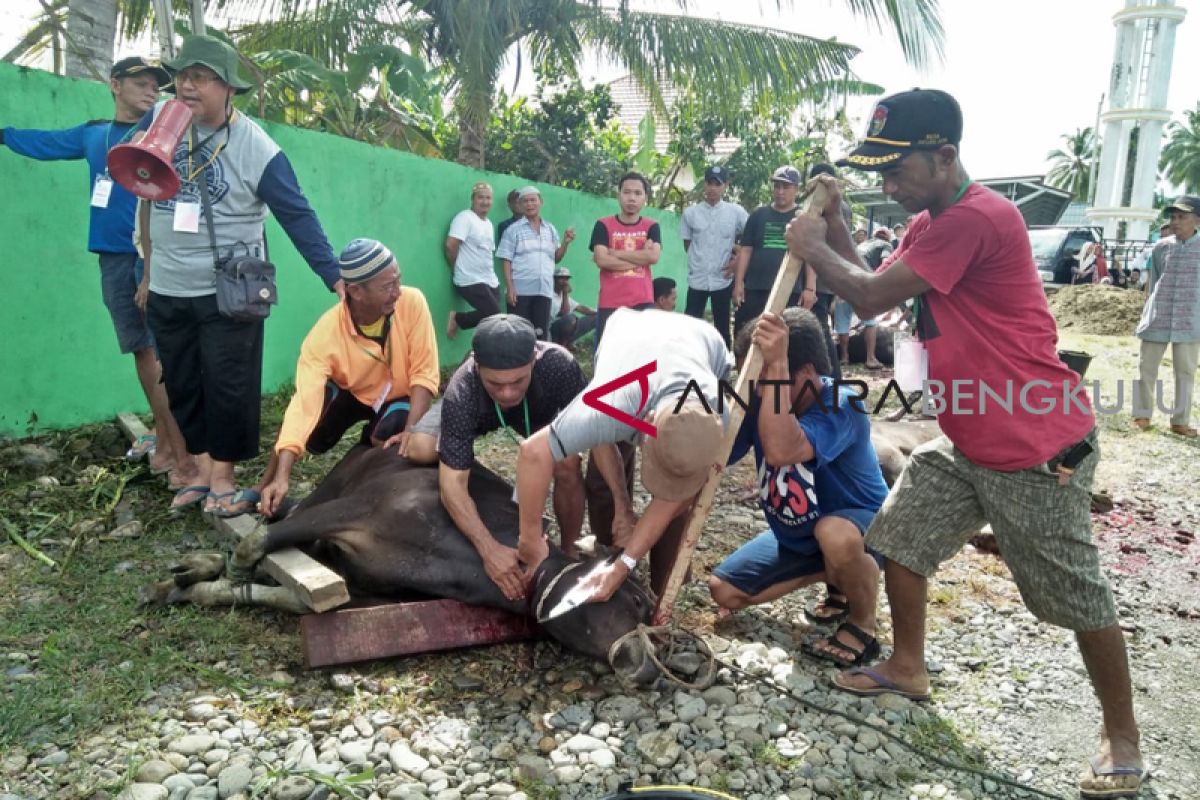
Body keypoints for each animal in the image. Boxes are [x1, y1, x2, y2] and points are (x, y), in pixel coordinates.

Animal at [146, 448, 662, 666]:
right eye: (637, 602)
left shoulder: (366, 587)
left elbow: (293, 596)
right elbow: (258, 544)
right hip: (328, 490)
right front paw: (219, 573)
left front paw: (194, 588)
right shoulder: (349, 511)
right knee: (275, 521)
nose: (650, 670)